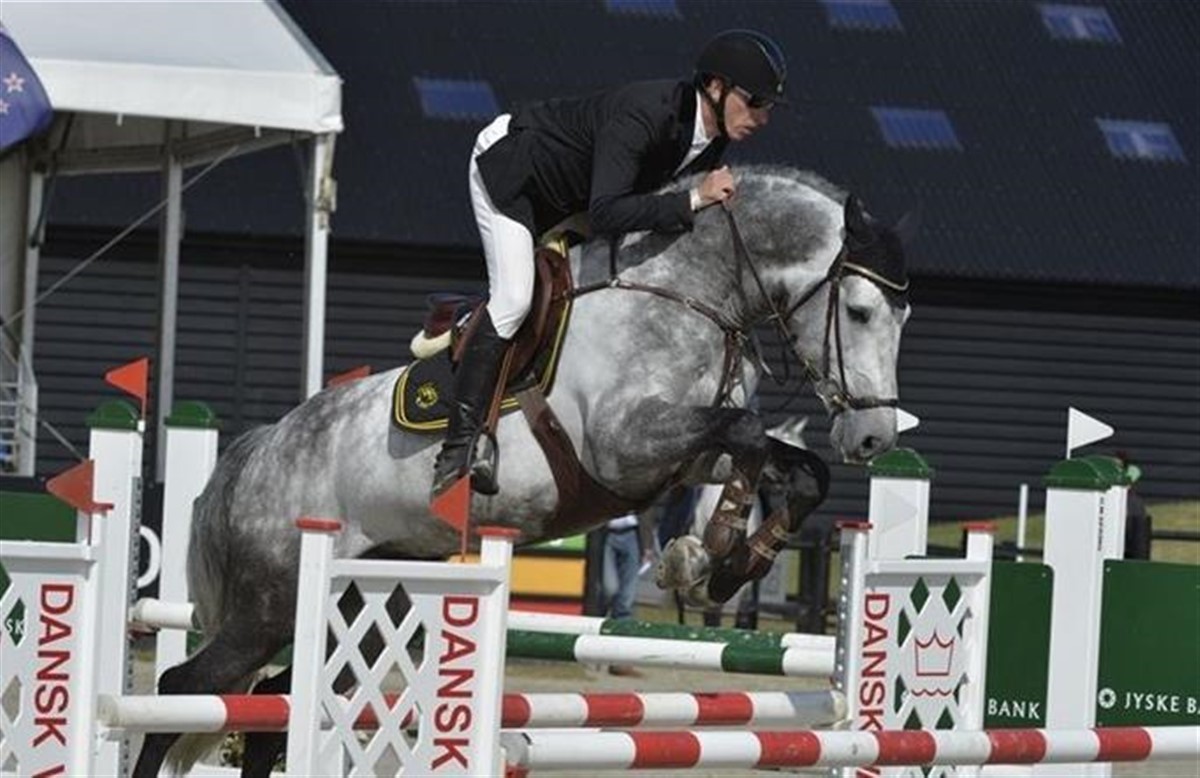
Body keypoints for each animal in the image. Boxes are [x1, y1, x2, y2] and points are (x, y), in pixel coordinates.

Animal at [134, 165, 913, 776]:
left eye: (904, 316)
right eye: (860, 310)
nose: (874, 435)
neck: (686, 292)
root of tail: (259, 450)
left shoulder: (682, 457)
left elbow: (794, 467)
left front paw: (727, 565)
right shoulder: (626, 446)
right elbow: (748, 433)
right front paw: (702, 556)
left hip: (359, 608)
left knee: (274, 711)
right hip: (269, 605)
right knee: (181, 689)